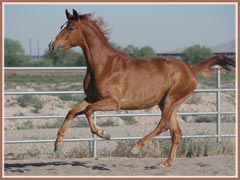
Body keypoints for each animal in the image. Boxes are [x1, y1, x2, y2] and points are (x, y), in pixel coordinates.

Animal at [48, 9, 234, 167]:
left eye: (71, 28)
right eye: (61, 27)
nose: (52, 46)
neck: (104, 65)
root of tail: (190, 69)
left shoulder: (113, 102)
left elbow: (88, 111)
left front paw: (104, 134)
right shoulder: (92, 98)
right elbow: (72, 112)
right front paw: (58, 145)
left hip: (171, 100)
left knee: (164, 125)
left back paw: (136, 147)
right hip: (167, 103)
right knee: (176, 132)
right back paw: (166, 163)